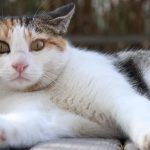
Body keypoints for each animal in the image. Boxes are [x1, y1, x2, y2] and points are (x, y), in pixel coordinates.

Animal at [0, 2, 150, 150]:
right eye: (2, 47)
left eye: (38, 45)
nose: (19, 65)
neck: (53, 89)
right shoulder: (51, 118)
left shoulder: (120, 95)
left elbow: (135, 108)